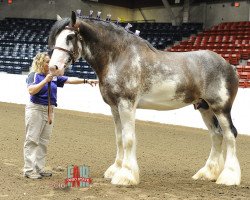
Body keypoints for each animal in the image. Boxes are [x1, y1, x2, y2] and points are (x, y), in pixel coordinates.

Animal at [47, 10, 241, 186]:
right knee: (216, 135)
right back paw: (207, 174)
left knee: (230, 135)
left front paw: (125, 176)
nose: (53, 68)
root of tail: (229, 65)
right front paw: (115, 170)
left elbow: (128, 138)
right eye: (55, 38)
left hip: (221, 108)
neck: (118, 56)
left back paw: (228, 177)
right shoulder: (114, 107)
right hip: (204, 107)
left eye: (70, 36)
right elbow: (119, 138)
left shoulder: (126, 104)